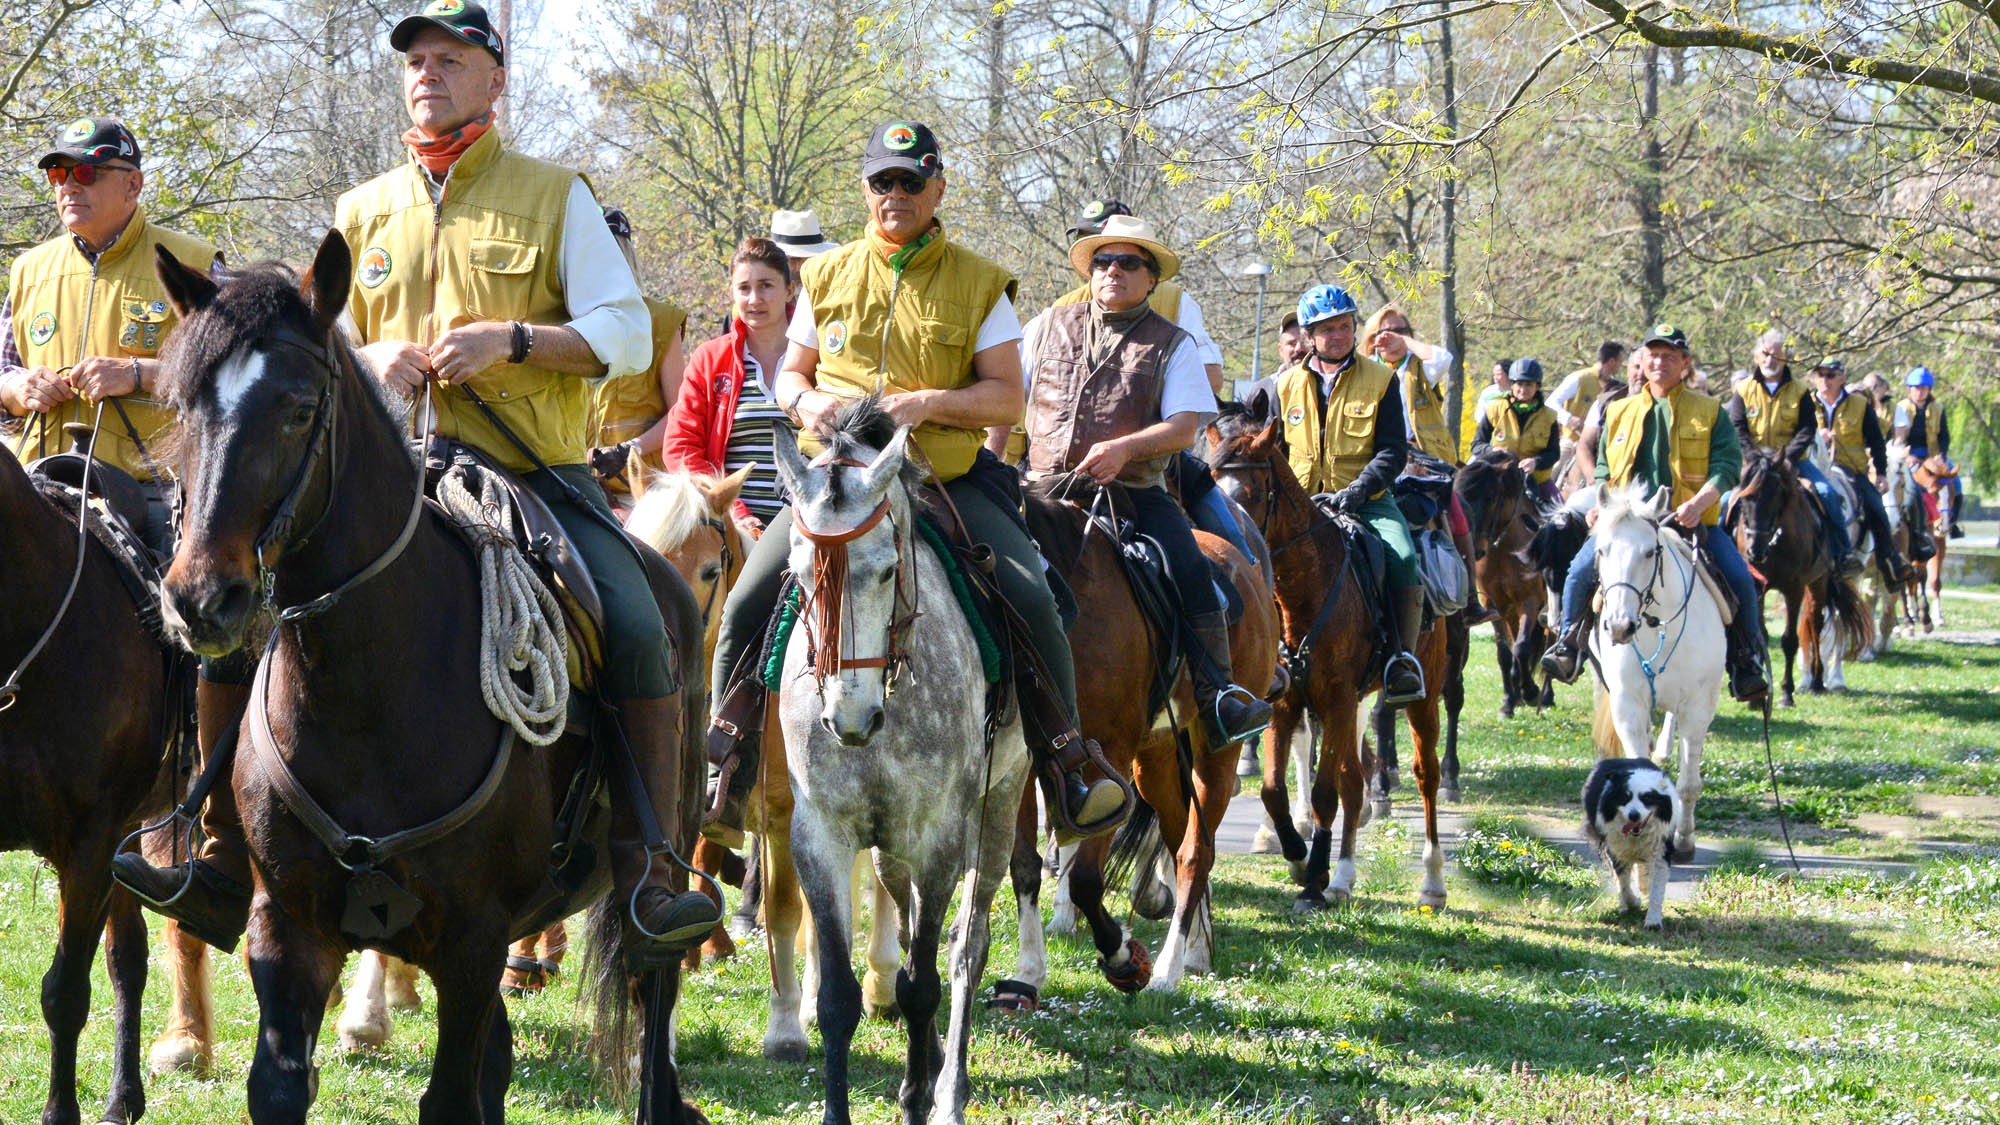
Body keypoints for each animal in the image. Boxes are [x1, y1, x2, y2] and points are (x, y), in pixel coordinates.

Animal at [768, 405, 1028, 1125]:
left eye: (887, 570)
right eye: (800, 574)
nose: (850, 718)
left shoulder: (939, 839)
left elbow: (924, 984)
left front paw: (917, 1096)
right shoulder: (820, 837)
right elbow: (838, 996)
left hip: (999, 808)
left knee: (966, 947)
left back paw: (948, 1088)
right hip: (890, 848)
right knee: (908, 918)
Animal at [1207, 400, 1450, 911]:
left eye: (1252, 494)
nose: (1223, 552)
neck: (1303, 593)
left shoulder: (1336, 699)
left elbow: (1323, 793)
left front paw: (1314, 878)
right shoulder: (1286, 704)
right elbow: (1274, 789)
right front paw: (1300, 859)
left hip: (1420, 697)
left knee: (1425, 775)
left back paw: (1432, 882)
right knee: (1354, 782)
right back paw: (1344, 876)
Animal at [1455, 450, 1554, 717]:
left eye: (1490, 498)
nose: (1473, 549)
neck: (1504, 551)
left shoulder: (1530, 601)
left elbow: (1521, 646)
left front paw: (1530, 693)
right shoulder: (1493, 604)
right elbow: (1504, 651)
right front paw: (1509, 701)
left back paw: (1545, 695)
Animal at [1582, 484, 1728, 861]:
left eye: (1649, 552)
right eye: (1601, 550)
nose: (1619, 626)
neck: (1656, 626)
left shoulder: (1698, 707)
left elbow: (1688, 784)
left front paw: (1685, 841)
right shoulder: (1628, 705)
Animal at [1731, 447, 1870, 707]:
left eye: (1776, 496)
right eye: (1744, 498)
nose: (1755, 551)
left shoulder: (1793, 589)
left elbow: (1789, 639)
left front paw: (1786, 693)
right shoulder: (1756, 588)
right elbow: (1761, 636)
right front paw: (1759, 696)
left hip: (1819, 581)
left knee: (1816, 623)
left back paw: (1817, 681)